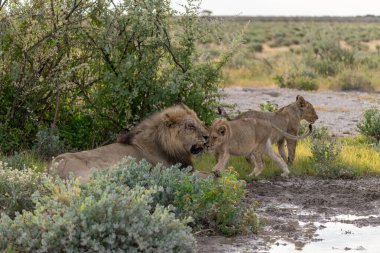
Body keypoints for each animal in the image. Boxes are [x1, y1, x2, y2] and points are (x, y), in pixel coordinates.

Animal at [47, 104, 209, 183]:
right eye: (190, 126)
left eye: (200, 122)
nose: (207, 137)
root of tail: (51, 169)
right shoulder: (175, 170)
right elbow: (206, 176)